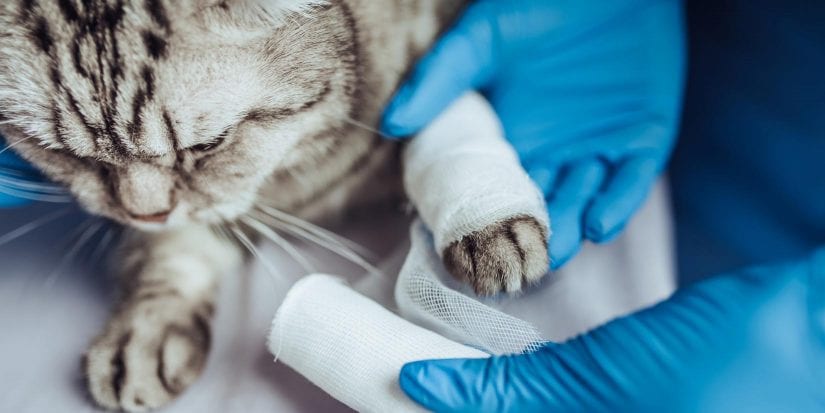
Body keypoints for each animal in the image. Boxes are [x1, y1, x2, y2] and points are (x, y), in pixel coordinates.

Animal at [0, 1, 552, 410]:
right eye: (63, 153)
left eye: (207, 145)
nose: (143, 215)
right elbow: (177, 249)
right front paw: (147, 331)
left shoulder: (433, 64)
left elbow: (442, 122)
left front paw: (490, 224)